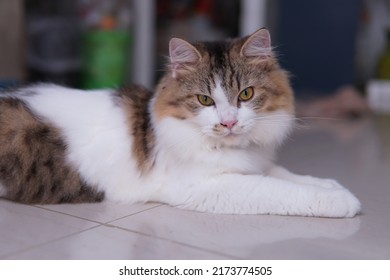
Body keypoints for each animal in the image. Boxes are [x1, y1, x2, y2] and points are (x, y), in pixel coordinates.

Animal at [0, 27, 362, 217]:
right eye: (205, 100)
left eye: (245, 94)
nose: (229, 123)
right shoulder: (207, 186)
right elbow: (281, 189)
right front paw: (341, 200)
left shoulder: (252, 164)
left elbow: (287, 174)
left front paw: (332, 185)